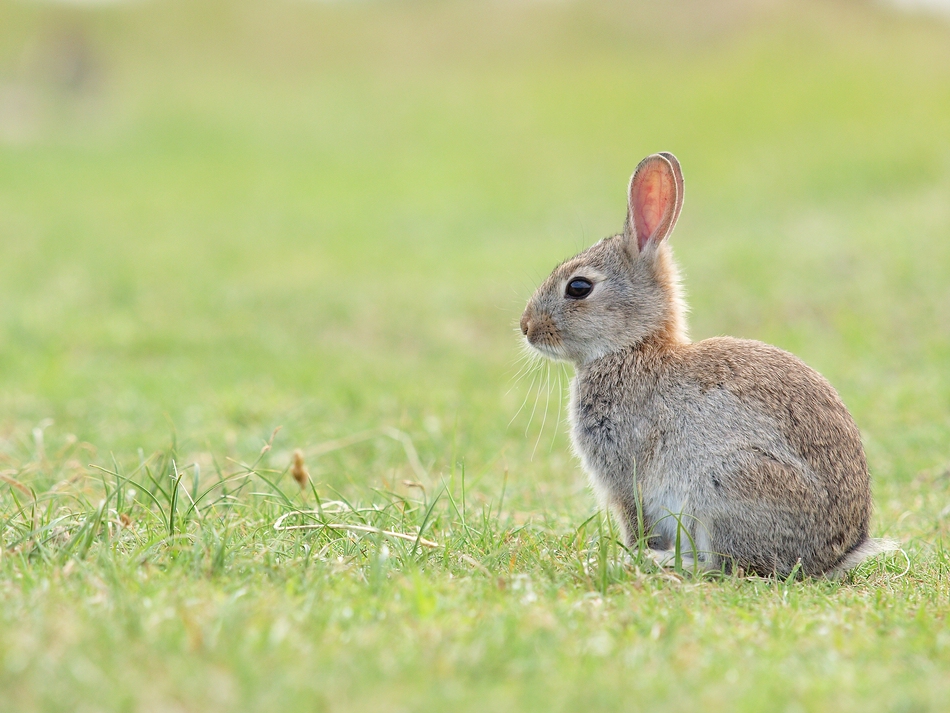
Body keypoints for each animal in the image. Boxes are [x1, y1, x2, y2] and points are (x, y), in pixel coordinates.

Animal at [520, 153, 900, 576]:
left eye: (579, 287)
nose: (526, 327)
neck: (633, 348)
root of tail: (833, 556)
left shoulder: (626, 479)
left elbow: (635, 525)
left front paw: (629, 556)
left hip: (724, 486)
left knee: (726, 566)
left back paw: (666, 561)